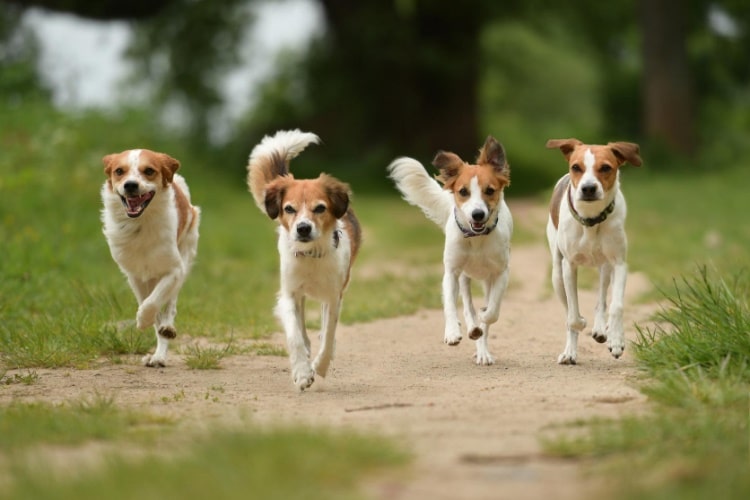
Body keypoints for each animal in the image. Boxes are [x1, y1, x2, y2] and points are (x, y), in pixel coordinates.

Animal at [100, 148, 200, 368]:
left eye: (149, 171)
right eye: (119, 171)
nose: (130, 185)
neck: (140, 224)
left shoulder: (174, 270)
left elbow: (153, 302)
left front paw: (143, 320)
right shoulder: (135, 276)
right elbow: (148, 303)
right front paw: (148, 323)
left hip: (186, 255)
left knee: (170, 305)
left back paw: (166, 335)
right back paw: (158, 353)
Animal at [248, 129, 362, 390]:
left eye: (320, 208)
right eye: (289, 208)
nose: (302, 228)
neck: (311, 255)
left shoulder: (334, 296)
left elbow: (328, 335)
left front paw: (320, 366)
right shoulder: (289, 294)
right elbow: (295, 335)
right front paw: (302, 372)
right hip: (298, 294)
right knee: (301, 326)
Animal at [388, 135, 516, 366]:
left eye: (490, 191)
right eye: (463, 192)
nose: (477, 214)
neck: (476, 239)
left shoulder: (501, 272)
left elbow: (493, 311)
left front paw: (485, 316)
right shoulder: (452, 272)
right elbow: (450, 304)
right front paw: (452, 333)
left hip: (486, 279)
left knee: (483, 313)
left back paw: (482, 349)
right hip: (465, 277)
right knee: (467, 307)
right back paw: (471, 327)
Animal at [548, 139, 648, 366]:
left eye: (605, 168)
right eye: (576, 167)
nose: (588, 188)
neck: (591, 220)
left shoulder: (619, 263)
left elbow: (616, 305)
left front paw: (616, 340)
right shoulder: (569, 266)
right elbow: (573, 316)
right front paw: (579, 325)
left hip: (605, 267)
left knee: (601, 300)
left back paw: (603, 329)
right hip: (557, 274)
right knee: (568, 310)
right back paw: (570, 351)